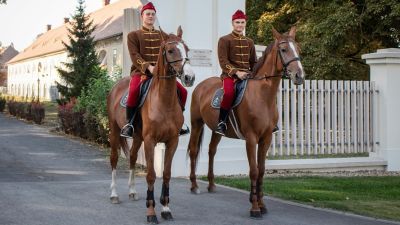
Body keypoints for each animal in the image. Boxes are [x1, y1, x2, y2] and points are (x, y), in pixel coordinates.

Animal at [105, 27, 195, 224]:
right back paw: (114, 194)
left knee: (132, 157)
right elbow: (151, 175)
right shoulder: (150, 141)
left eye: (187, 49)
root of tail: (116, 86)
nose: (189, 77)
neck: (164, 101)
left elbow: (167, 174)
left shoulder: (172, 141)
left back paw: (132, 191)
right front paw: (151, 211)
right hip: (115, 132)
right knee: (114, 159)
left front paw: (166, 208)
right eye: (170, 50)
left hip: (137, 136)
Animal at [188, 26, 304, 218]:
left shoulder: (266, 139)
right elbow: (254, 170)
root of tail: (201, 85)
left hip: (216, 130)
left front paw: (261, 204)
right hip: (197, 123)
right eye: (283, 49)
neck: (263, 95)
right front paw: (255, 208)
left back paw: (211, 184)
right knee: (193, 151)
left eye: (298, 48)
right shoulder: (251, 138)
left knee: (212, 151)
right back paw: (194, 185)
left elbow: (262, 170)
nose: (299, 76)